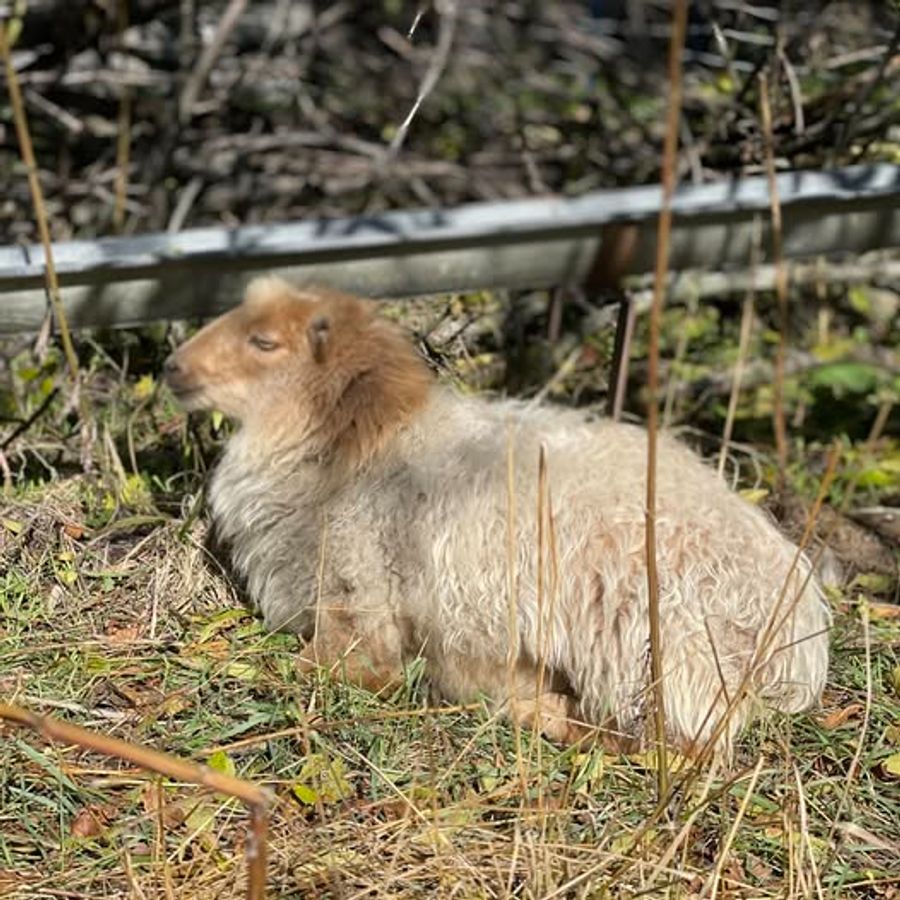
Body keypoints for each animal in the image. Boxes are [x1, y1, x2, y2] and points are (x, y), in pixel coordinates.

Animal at [163, 276, 830, 756]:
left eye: (265, 343)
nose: (174, 367)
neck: (348, 452)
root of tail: (796, 638)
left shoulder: (358, 601)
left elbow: (324, 667)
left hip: (655, 654)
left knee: (671, 740)